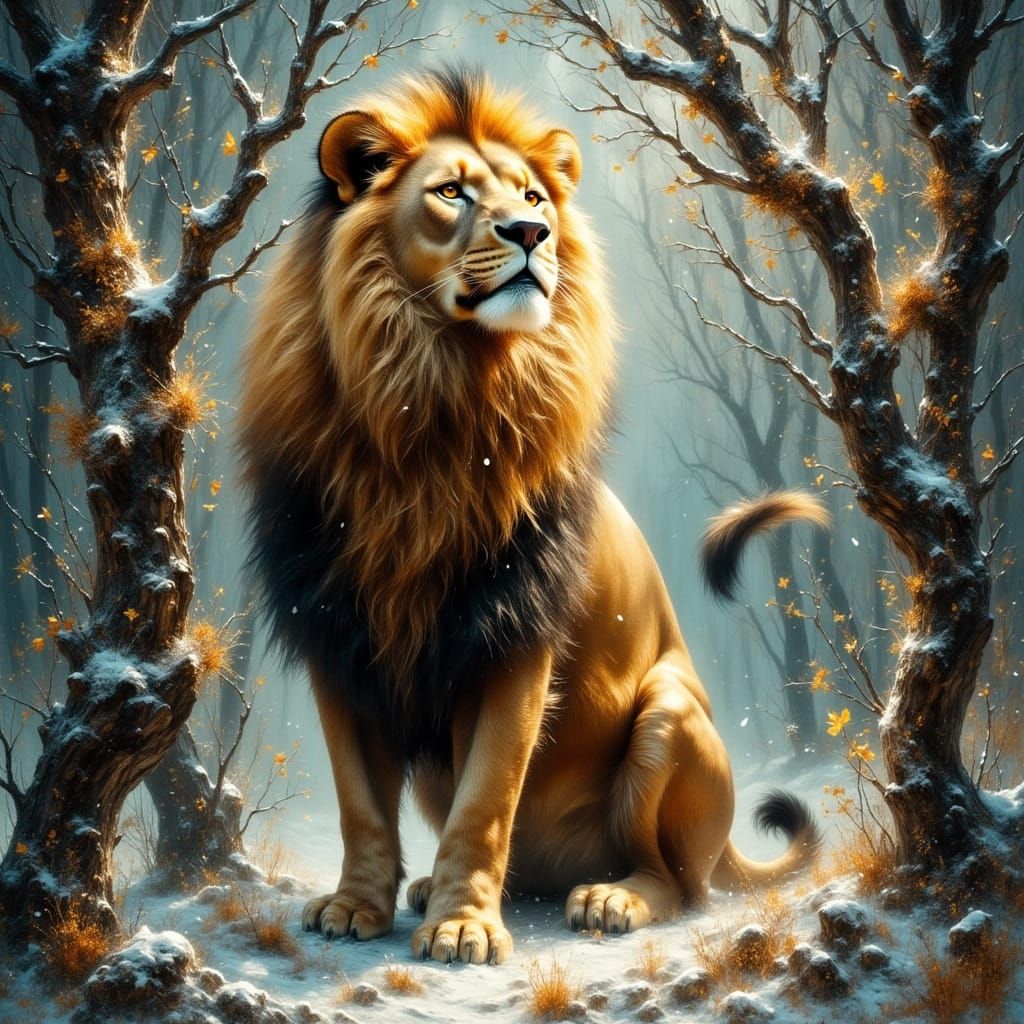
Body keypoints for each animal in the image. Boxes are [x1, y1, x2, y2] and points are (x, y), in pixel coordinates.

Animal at [238, 67, 826, 966]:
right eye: (450, 191)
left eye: (533, 196)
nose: (531, 231)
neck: (435, 400)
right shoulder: (335, 633)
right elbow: (359, 803)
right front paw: (356, 906)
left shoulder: (513, 631)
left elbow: (486, 800)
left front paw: (462, 927)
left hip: (668, 717)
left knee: (681, 884)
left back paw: (612, 898)